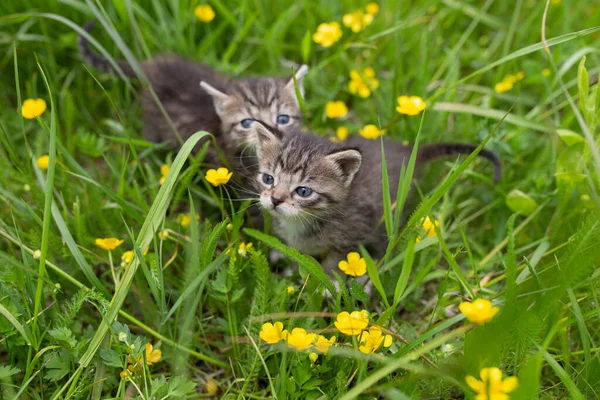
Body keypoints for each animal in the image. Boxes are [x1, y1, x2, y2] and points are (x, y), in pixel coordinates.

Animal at [250, 123, 502, 270]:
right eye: (269, 179)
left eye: (303, 191)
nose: (275, 200)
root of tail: (408, 152)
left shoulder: (353, 236)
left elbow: (334, 263)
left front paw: (329, 286)